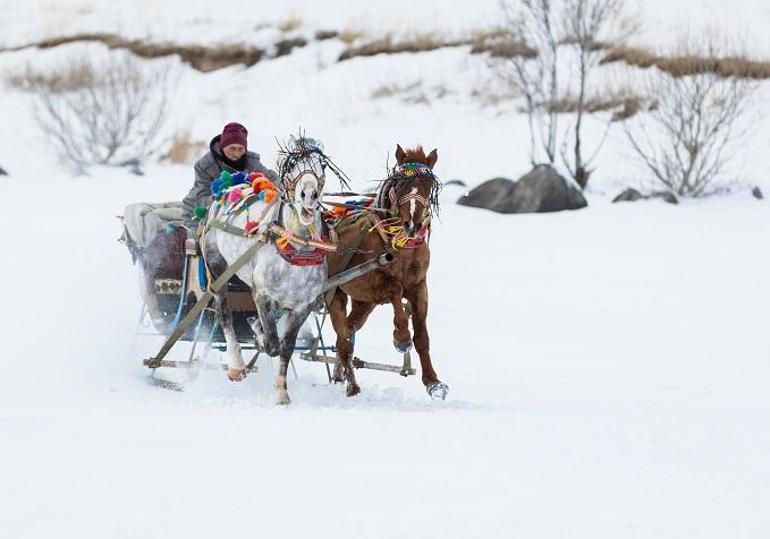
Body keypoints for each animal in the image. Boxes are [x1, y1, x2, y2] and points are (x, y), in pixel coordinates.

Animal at [202, 139, 334, 404]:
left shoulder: (302, 306)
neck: (298, 248)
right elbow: (272, 344)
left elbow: (286, 347)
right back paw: (236, 365)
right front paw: (259, 334)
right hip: (217, 268)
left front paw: (282, 392)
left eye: (322, 165)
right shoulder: (261, 294)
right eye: (292, 165)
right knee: (224, 314)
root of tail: (231, 184)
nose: (309, 195)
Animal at [322, 146, 444, 398]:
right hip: (335, 293)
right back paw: (352, 387)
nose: (413, 224)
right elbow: (395, 290)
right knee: (343, 342)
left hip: (363, 304)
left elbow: (422, 336)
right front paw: (401, 338)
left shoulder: (419, 287)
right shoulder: (371, 283)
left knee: (347, 333)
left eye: (428, 185)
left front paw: (433, 382)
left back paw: (340, 377)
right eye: (401, 183)